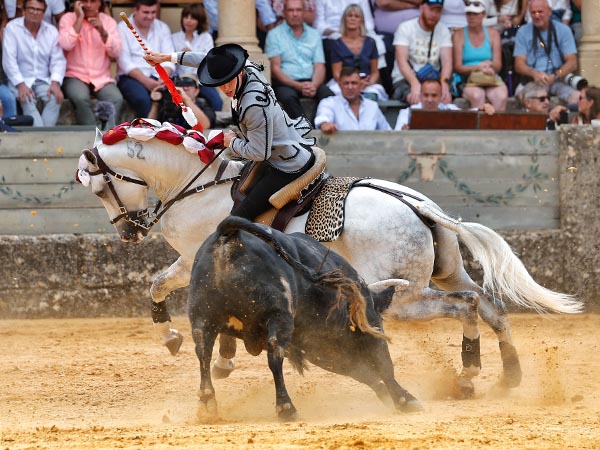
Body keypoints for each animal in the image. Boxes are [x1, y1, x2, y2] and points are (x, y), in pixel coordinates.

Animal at [78, 132, 580, 396]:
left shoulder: (191, 259)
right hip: (446, 272)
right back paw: (508, 375)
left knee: (465, 306)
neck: (198, 184)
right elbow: (165, 289)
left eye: (100, 188)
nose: (128, 232)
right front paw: (212, 354)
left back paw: (469, 372)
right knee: (491, 305)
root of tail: (418, 205)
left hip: (404, 298)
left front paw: (181, 342)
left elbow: (157, 285)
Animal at [188, 216, 422, 420]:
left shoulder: (321, 349)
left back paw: (207, 403)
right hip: (278, 316)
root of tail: (228, 234)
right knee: (274, 355)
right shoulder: (365, 330)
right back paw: (286, 408)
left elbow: (364, 372)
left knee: (203, 352)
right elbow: (384, 366)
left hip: (202, 319)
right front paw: (405, 399)